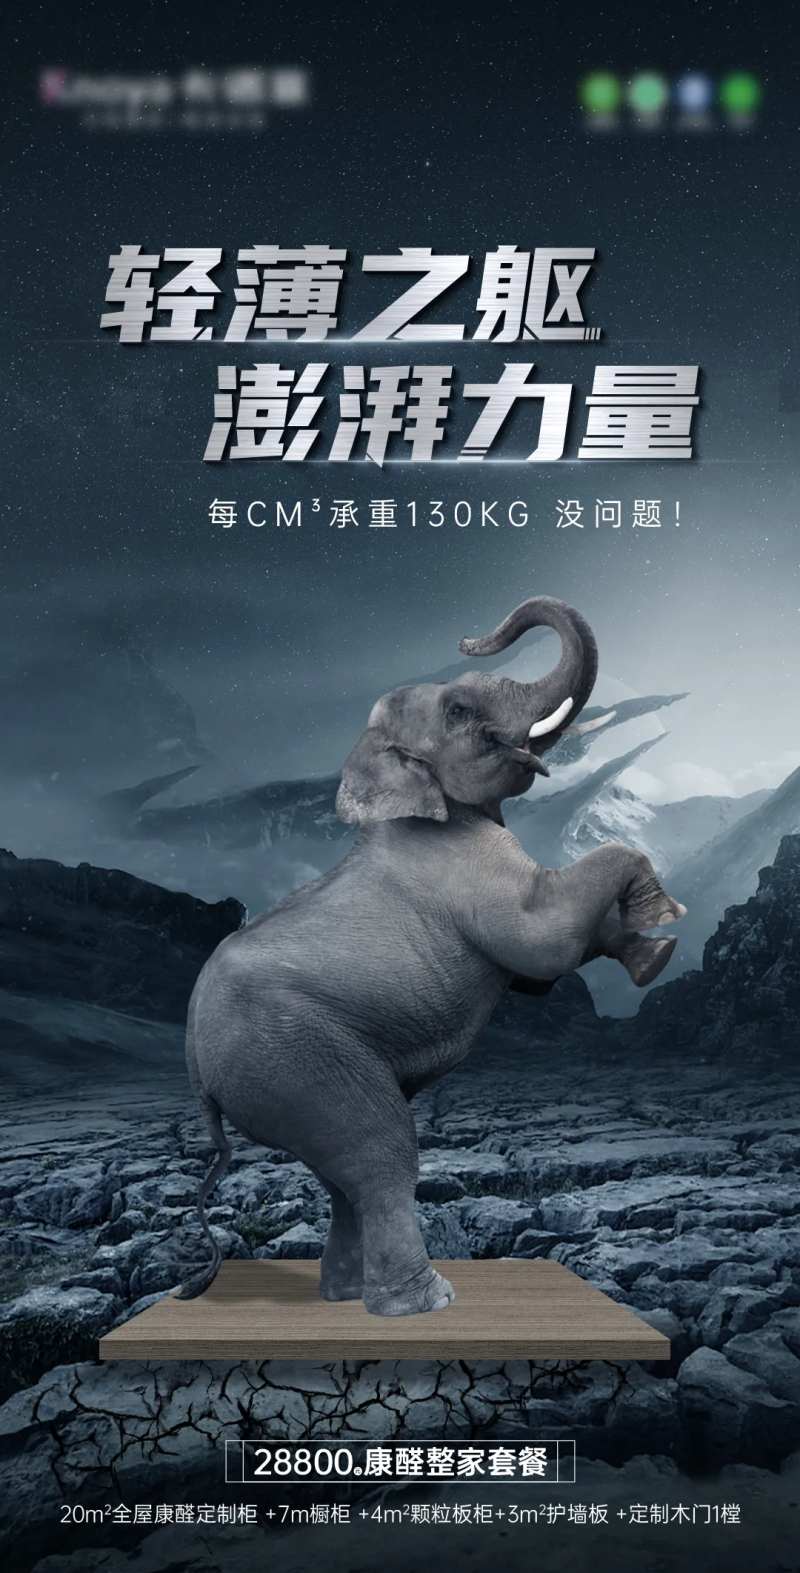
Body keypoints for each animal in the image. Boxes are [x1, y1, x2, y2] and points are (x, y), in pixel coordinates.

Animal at [177, 595, 685, 1316]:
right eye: (459, 711)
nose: (470, 637)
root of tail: (195, 1064)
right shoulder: (465, 870)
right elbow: (543, 941)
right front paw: (666, 923)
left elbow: (539, 969)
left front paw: (652, 954)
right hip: (298, 1059)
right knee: (381, 1153)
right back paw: (425, 1302)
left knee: (341, 1178)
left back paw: (344, 1297)